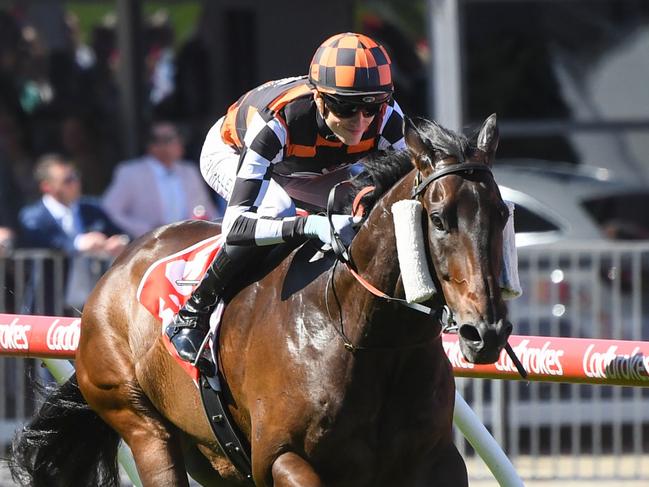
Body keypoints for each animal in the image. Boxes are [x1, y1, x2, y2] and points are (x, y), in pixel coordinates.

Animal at [11, 114, 512, 487]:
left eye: (502, 214)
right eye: (439, 219)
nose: (485, 332)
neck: (359, 334)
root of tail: (116, 268)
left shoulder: (436, 461)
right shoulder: (279, 458)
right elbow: (244, 222)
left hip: (212, 457)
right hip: (139, 421)